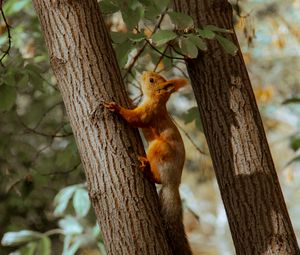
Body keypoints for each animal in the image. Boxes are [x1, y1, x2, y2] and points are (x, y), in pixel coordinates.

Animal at [103, 70, 192, 255]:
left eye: (151, 80)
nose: (143, 73)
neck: (156, 101)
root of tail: (173, 183)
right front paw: (129, 98)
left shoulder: (148, 114)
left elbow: (135, 118)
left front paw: (117, 108)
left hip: (158, 148)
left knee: (157, 177)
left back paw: (147, 169)